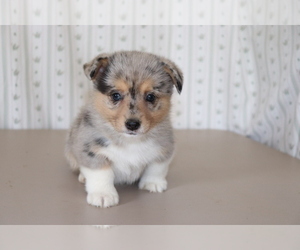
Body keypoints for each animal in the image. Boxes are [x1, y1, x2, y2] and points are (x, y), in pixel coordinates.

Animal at [65, 50, 183, 207]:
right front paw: (103, 195)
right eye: (116, 95)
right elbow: (102, 174)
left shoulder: (164, 149)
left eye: (150, 97)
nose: (132, 124)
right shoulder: (90, 150)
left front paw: (153, 183)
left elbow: (156, 168)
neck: (130, 141)